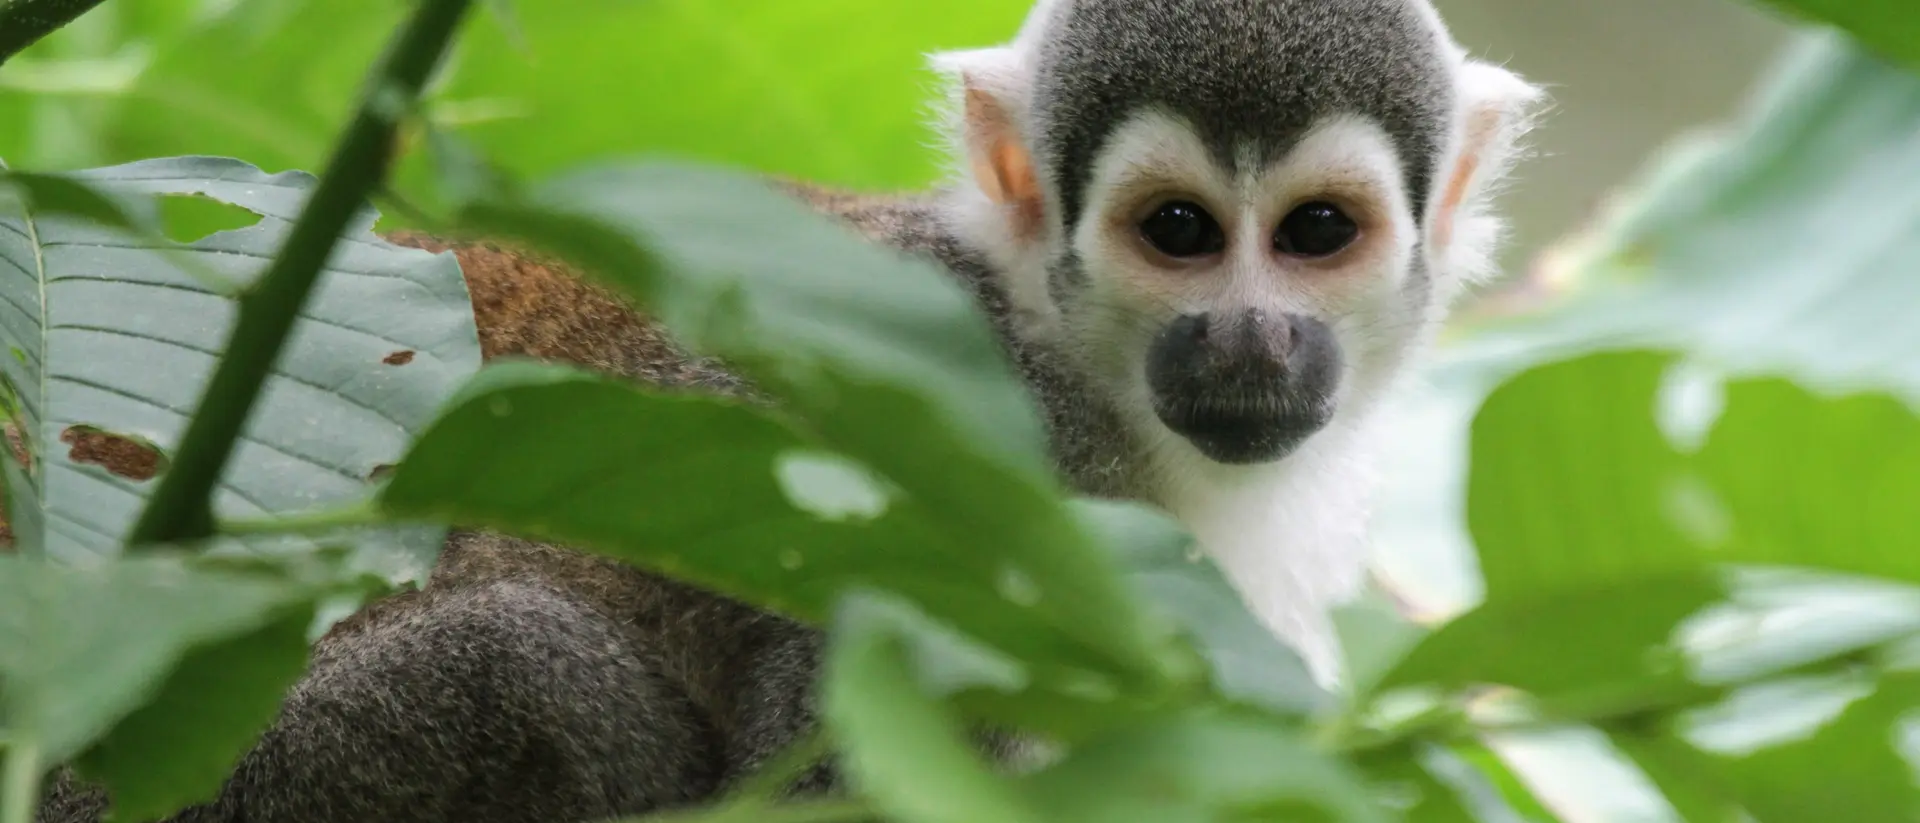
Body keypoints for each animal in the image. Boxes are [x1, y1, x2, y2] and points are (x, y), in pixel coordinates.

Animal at [37, 1, 1541, 821]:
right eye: (1178, 230)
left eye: (1314, 233)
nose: (1247, 337)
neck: (1080, 378)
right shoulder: (969, 506)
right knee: (521, 663)